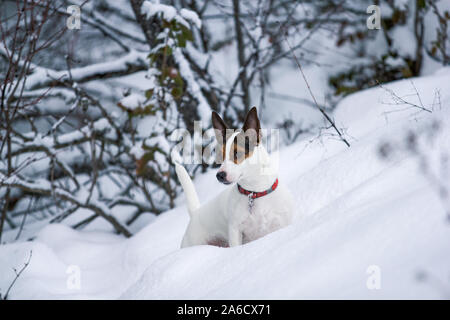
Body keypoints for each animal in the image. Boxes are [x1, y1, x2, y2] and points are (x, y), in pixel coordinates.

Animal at [174, 107, 294, 248]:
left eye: (237, 153)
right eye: (220, 156)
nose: (219, 175)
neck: (254, 192)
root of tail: (195, 212)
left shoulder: (282, 223)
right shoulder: (235, 231)